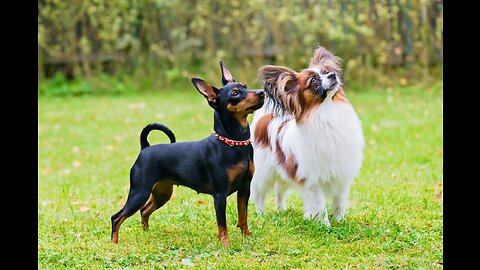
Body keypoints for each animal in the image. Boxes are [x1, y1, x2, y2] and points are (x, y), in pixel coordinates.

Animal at [110, 61, 264, 247]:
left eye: (245, 86)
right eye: (235, 93)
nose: (261, 92)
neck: (234, 143)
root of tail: (145, 148)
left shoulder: (244, 189)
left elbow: (243, 217)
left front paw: (247, 238)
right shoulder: (219, 195)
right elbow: (222, 224)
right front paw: (225, 245)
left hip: (162, 193)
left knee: (144, 211)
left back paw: (146, 233)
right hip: (139, 192)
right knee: (117, 217)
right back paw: (114, 243)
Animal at [251, 46, 364, 226]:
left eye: (326, 72)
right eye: (313, 81)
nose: (333, 75)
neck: (327, 111)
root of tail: (265, 118)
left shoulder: (341, 176)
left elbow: (339, 202)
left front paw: (340, 221)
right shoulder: (313, 180)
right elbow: (320, 205)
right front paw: (325, 225)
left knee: (279, 191)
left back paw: (281, 210)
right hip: (263, 172)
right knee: (259, 194)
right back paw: (261, 214)